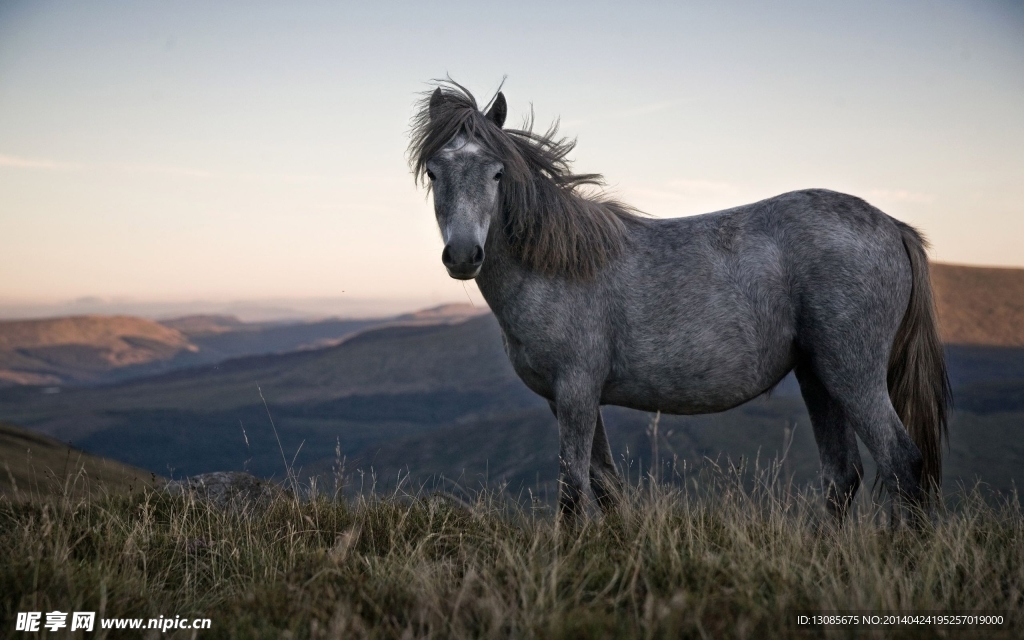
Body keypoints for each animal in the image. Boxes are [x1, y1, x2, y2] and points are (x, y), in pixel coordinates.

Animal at [408, 81, 950, 522]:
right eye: (433, 172)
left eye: (497, 173)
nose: (463, 254)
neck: (557, 266)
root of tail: (894, 227)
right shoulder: (565, 399)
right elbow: (605, 486)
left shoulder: (577, 391)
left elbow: (573, 491)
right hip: (818, 376)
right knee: (843, 475)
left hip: (853, 374)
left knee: (902, 462)